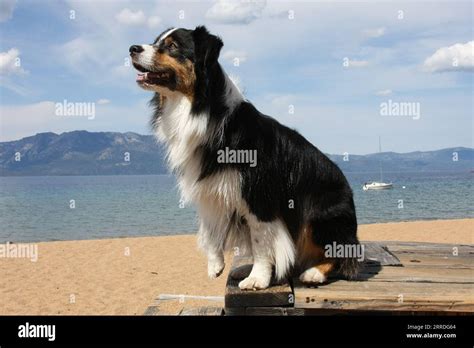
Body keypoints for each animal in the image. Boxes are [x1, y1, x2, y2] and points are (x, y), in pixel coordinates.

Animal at [130, 25, 360, 290]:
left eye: (172, 46)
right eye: (156, 40)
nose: (132, 48)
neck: (202, 109)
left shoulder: (259, 196)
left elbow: (261, 241)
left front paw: (258, 278)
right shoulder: (212, 189)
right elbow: (210, 230)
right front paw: (216, 266)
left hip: (320, 216)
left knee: (343, 251)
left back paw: (314, 273)